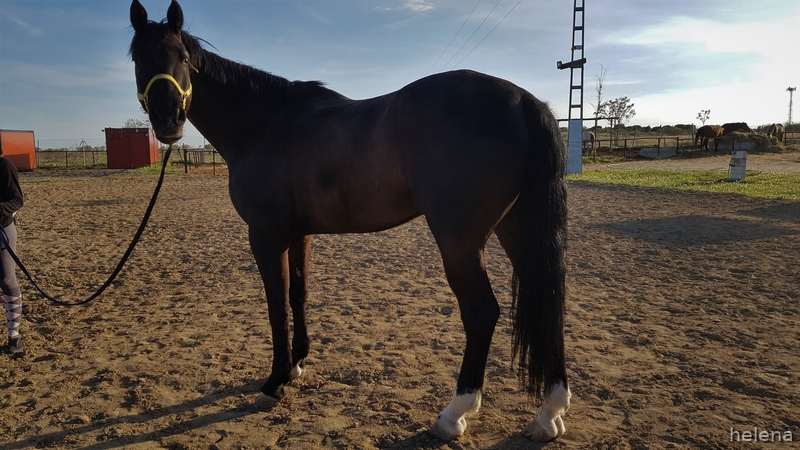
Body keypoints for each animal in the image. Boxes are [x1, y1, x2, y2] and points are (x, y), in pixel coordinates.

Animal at [129, 0, 570, 442]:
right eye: (138, 58)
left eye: (182, 57)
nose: (168, 120)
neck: (264, 123)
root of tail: (524, 101)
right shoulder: (299, 234)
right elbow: (298, 295)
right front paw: (296, 366)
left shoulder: (266, 235)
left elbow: (276, 305)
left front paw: (274, 383)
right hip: (515, 230)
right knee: (548, 299)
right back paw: (548, 413)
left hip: (459, 241)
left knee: (481, 313)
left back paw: (453, 414)